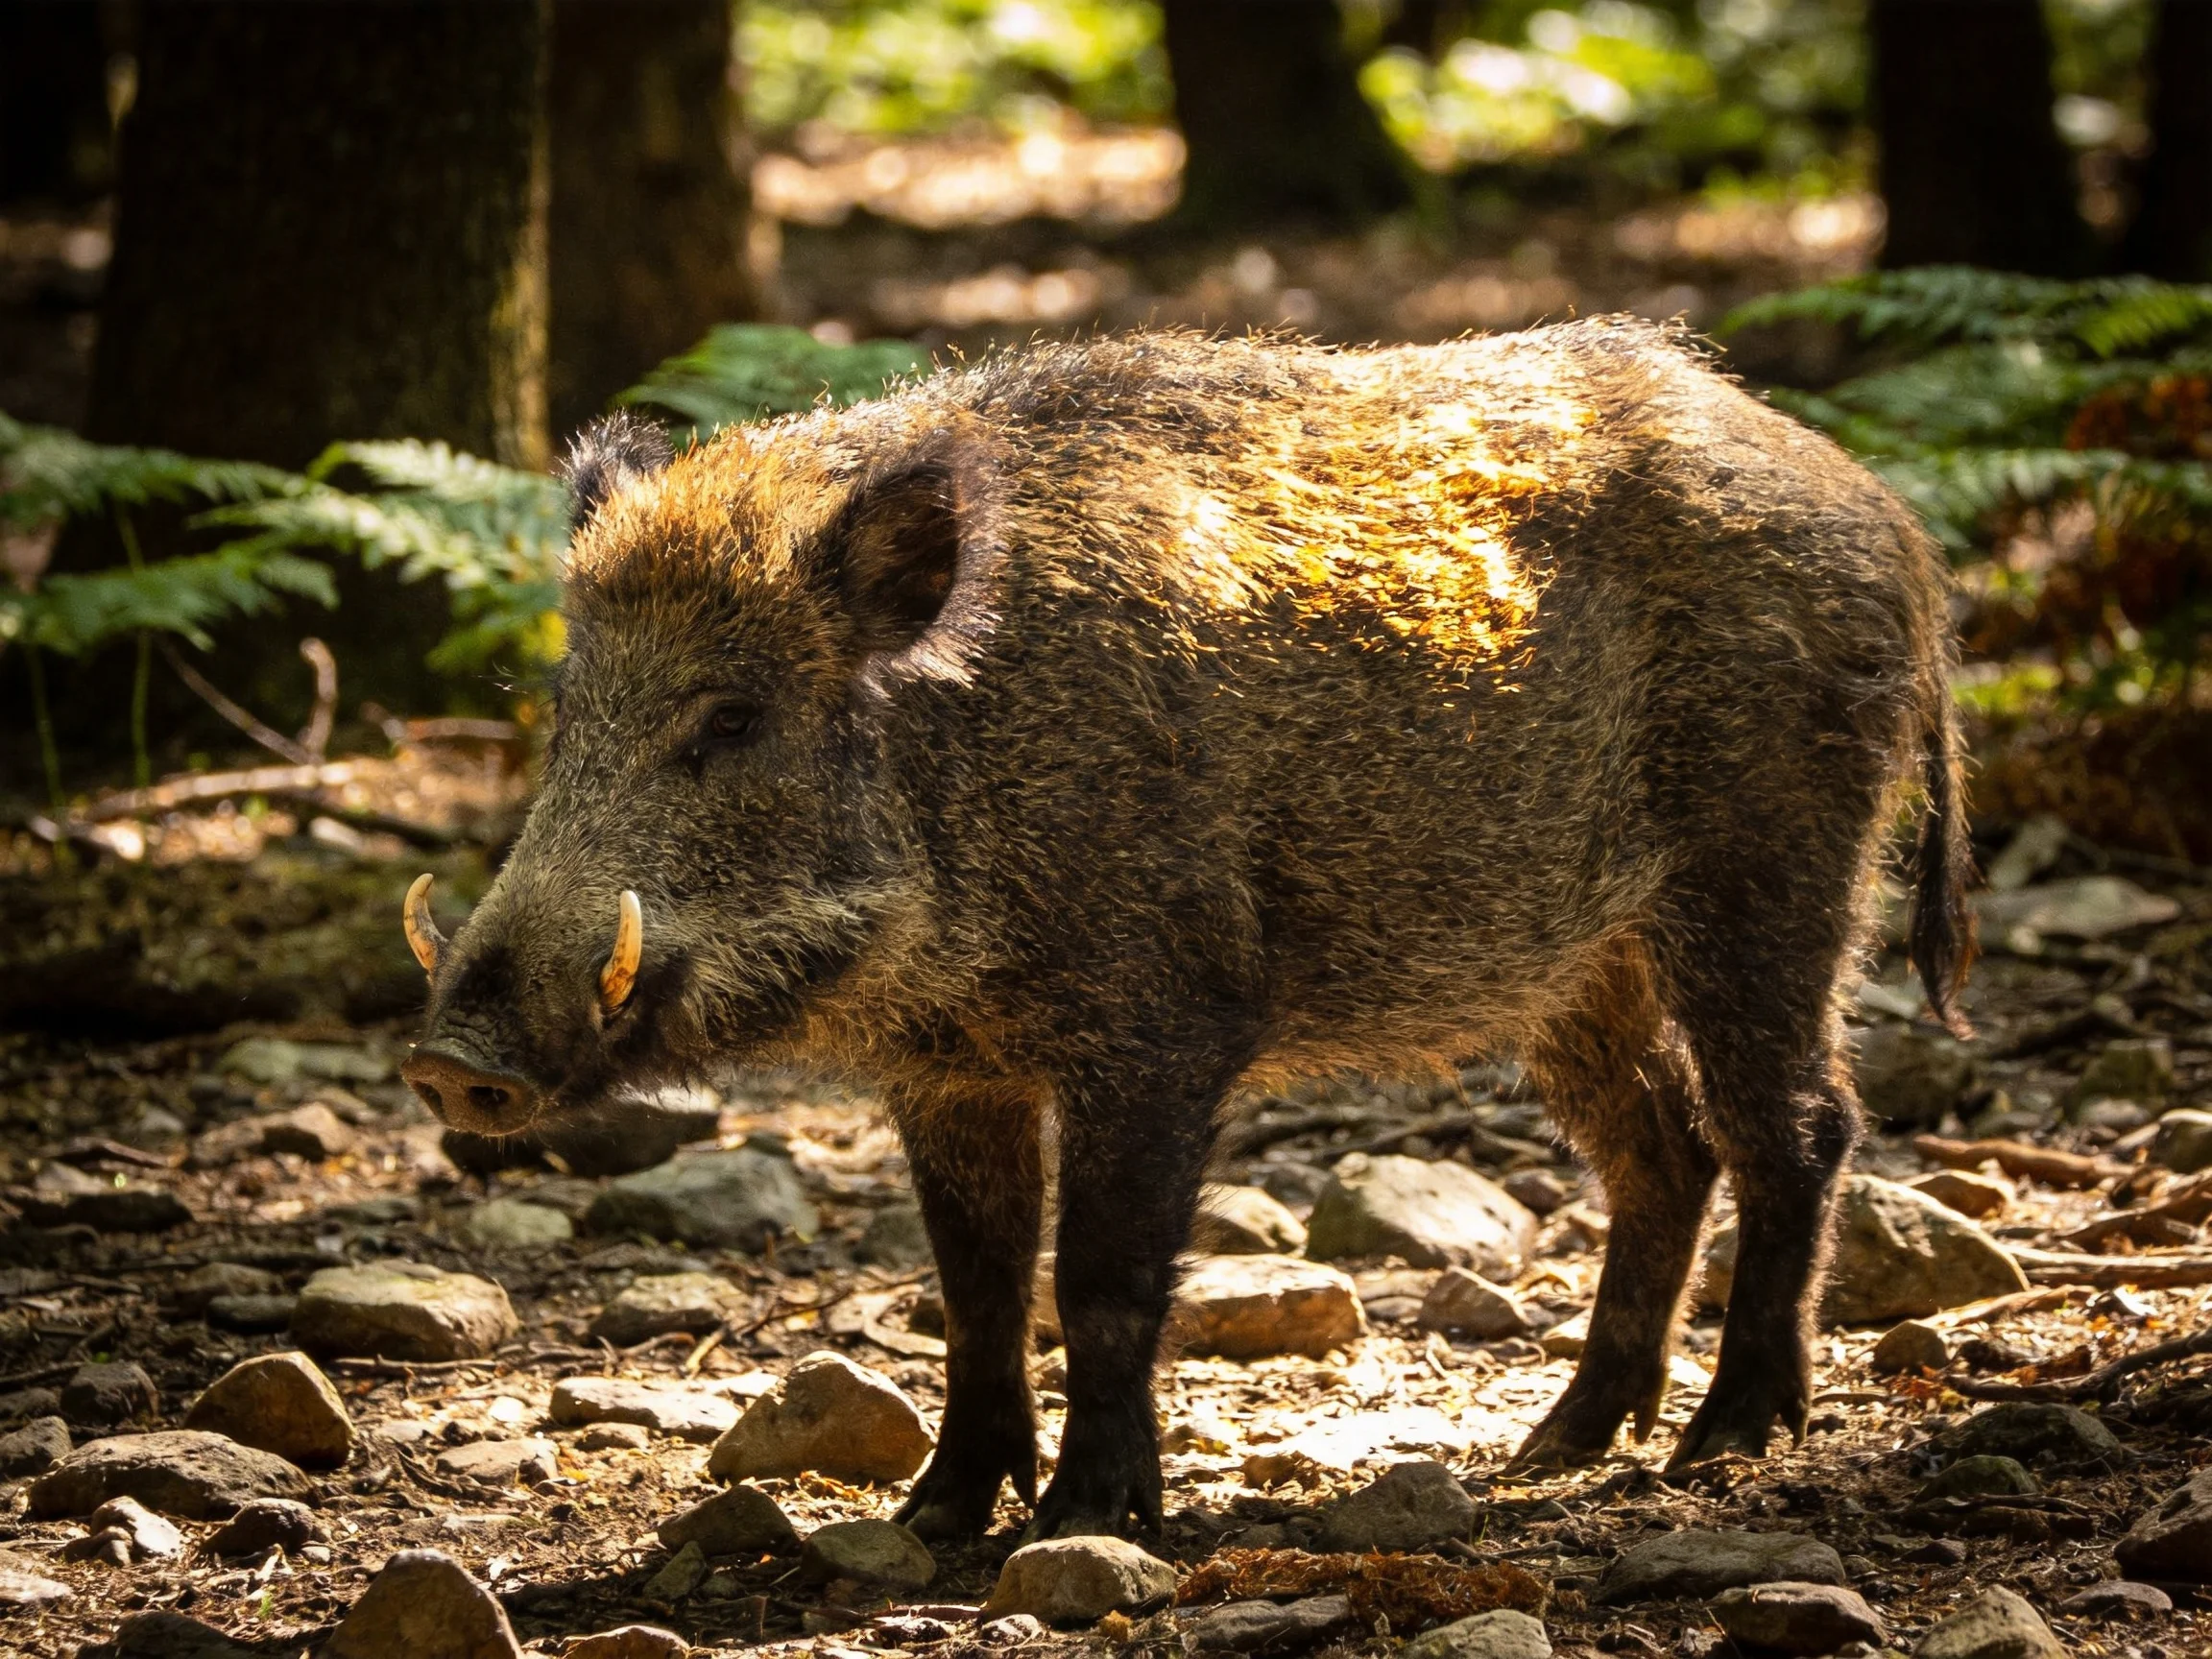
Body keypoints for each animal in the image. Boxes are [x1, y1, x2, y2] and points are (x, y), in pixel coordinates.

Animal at [400, 319, 1972, 1540]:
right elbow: (975, 1287)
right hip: (1576, 968)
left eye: (731, 720)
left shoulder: (1163, 1024)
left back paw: (1732, 1441)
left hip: (1772, 871)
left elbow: (1099, 1275)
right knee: (1665, 1147)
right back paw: (1558, 1447)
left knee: (1801, 1127)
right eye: (566, 715)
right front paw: (938, 1518)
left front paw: (1089, 1522)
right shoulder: (950, 1067)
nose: (450, 1057)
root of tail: (1891, 520)